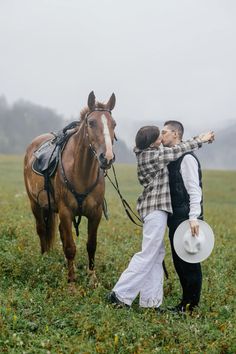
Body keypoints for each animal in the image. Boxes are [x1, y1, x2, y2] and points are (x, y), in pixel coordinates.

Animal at [23, 90, 116, 282]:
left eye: (114, 124)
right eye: (91, 122)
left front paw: (92, 279)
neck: (81, 172)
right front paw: (72, 281)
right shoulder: (66, 212)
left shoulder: (95, 214)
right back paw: (44, 259)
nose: (107, 157)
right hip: (35, 204)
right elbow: (70, 247)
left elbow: (91, 245)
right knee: (41, 230)